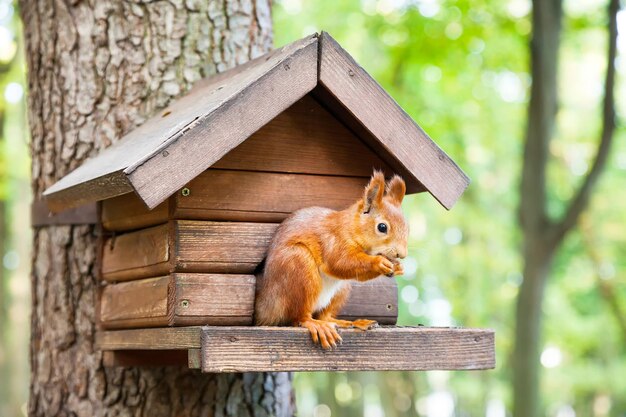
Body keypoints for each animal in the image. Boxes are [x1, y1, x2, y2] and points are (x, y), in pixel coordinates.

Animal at [255, 170, 410, 348]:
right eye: (382, 227)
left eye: (407, 227)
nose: (402, 254)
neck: (351, 227)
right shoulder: (334, 241)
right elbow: (340, 263)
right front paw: (378, 262)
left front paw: (398, 267)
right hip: (299, 267)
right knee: (299, 317)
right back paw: (316, 324)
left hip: (341, 289)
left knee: (326, 316)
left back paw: (352, 322)